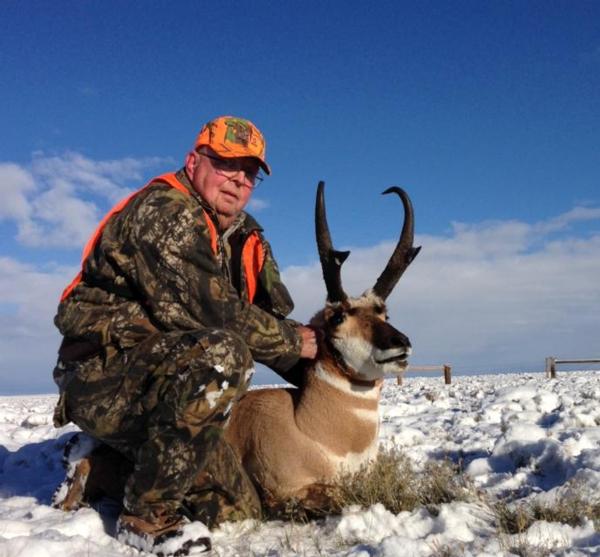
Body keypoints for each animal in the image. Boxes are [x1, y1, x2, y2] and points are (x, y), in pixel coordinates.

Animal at [226, 181, 422, 504]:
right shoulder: (288, 491)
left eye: (384, 312)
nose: (401, 342)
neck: (304, 423)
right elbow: (340, 493)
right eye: (338, 317)